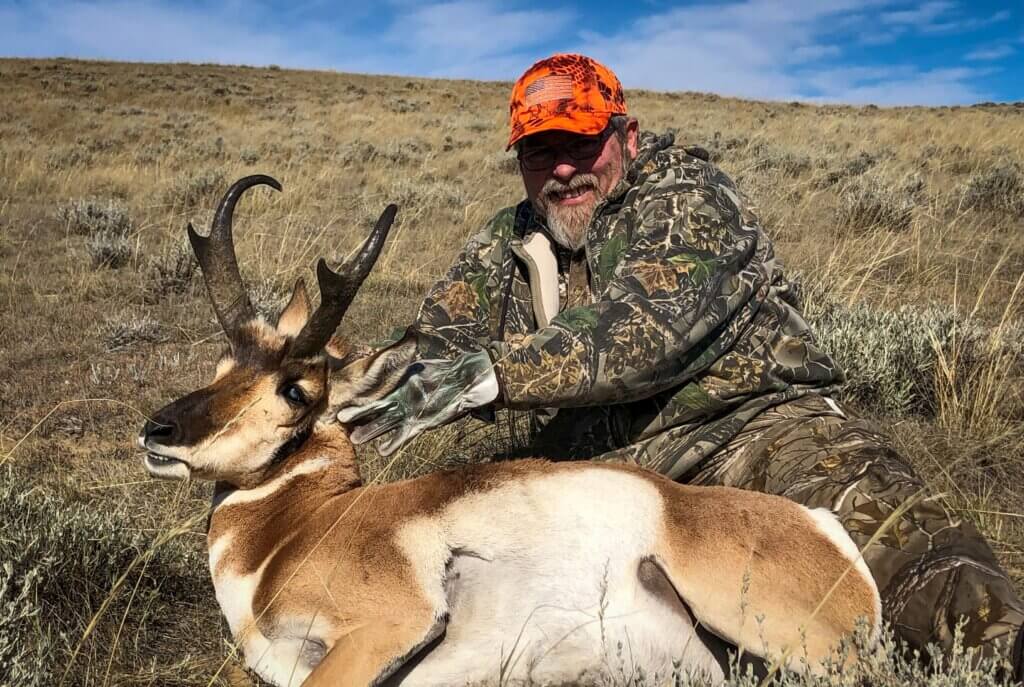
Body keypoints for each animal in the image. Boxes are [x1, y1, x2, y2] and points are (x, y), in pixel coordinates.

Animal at [138, 175, 881, 687]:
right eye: (224, 363)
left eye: (295, 391)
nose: (158, 431)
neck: (297, 529)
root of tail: (820, 527)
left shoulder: (385, 629)